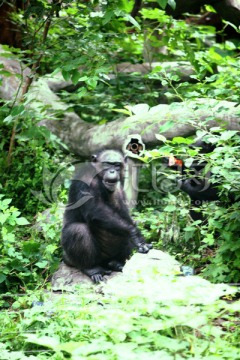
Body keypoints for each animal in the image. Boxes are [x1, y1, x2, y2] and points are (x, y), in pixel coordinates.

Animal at [62, 148, 152, 282]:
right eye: (108, 164)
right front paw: (136, 234)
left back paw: (116, 263)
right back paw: (92, 269)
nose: (112, 170)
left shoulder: (120, 188)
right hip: (71, 258)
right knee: (77, 230)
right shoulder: (85, 180)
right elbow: (95, 210)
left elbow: (125, 214)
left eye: (117, 165)